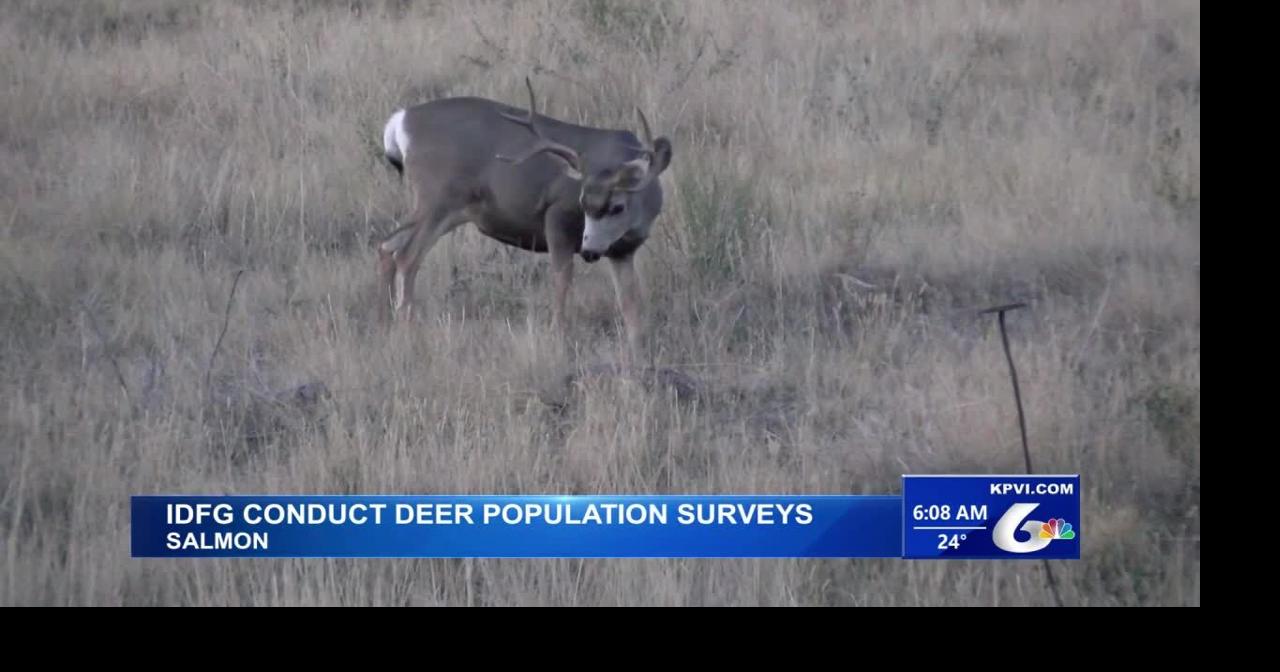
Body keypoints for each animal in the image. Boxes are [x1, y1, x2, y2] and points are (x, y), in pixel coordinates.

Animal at [375, 78, 673, 359]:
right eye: (581, 202)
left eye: (617, 207)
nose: (589, 250)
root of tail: (400, 121)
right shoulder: (556, 215)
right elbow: (562, 280)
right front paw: (559, 339)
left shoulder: (623, 250)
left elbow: (630, 302)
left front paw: (638, 352)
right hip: (437, 197)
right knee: (407, 255)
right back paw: (406, 331)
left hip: (444, 209)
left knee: (387, 245)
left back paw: (386, 326)